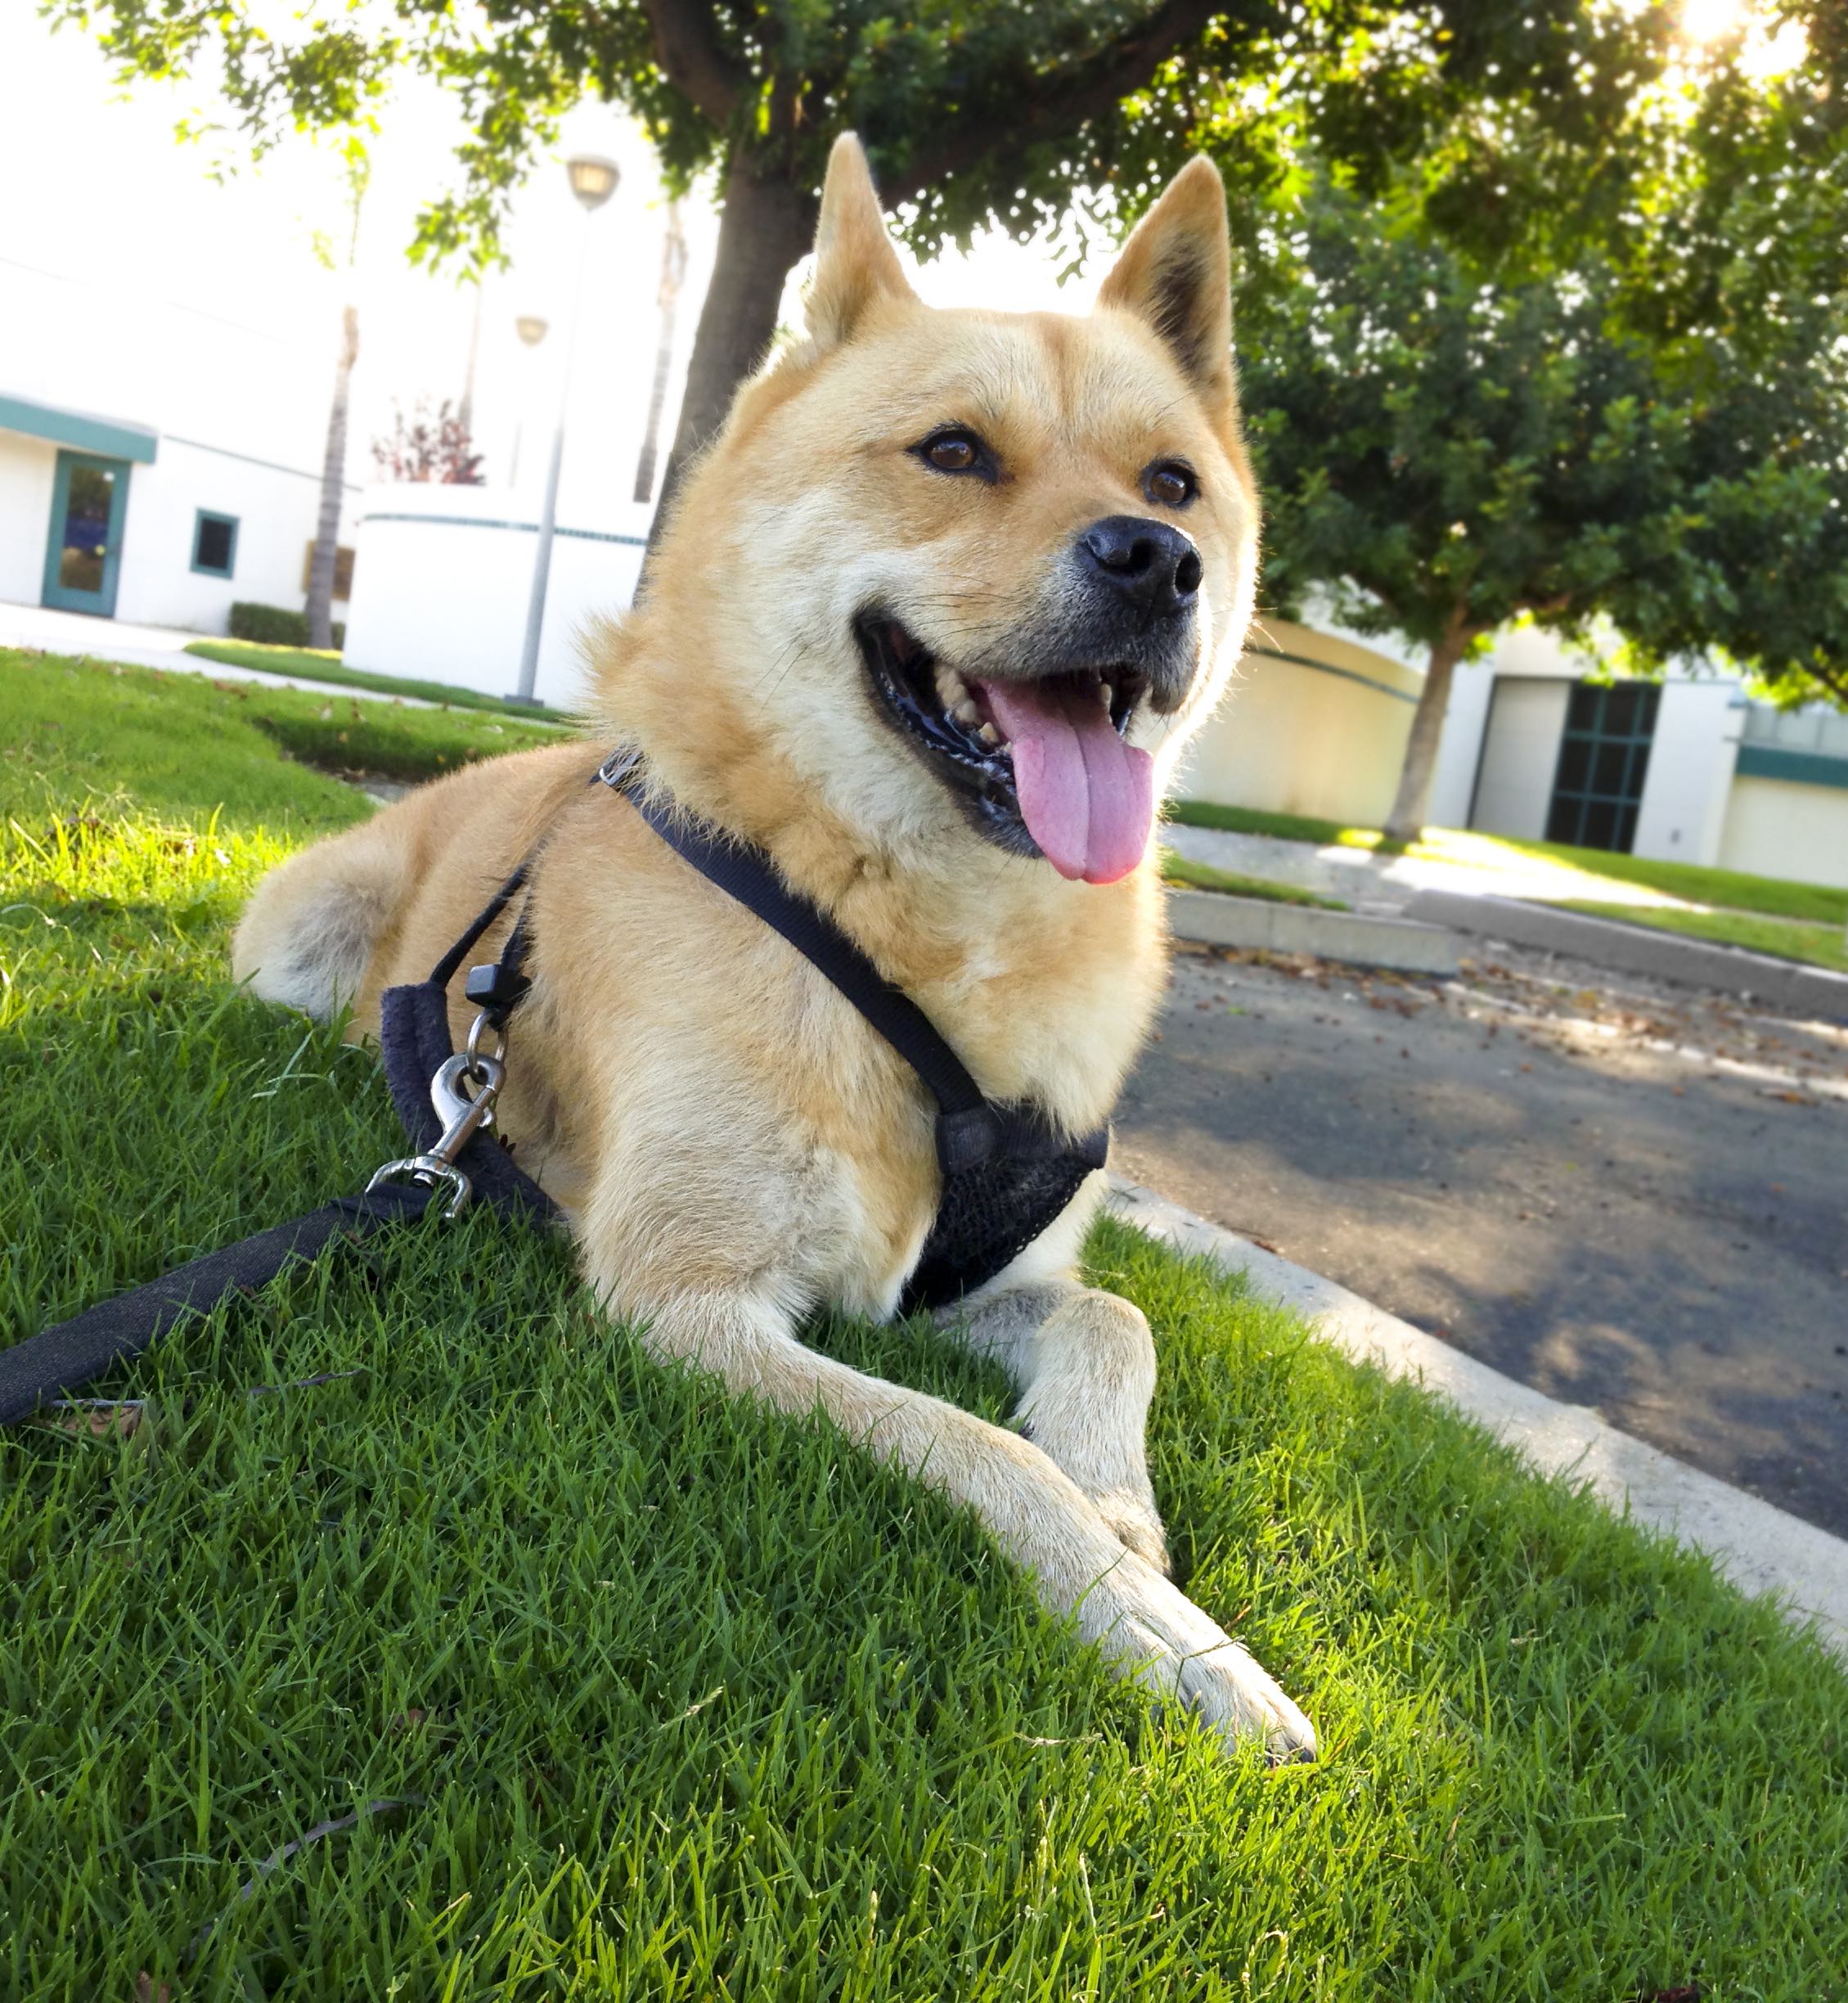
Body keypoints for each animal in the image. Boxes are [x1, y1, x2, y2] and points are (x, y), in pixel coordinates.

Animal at [238, 141, 1321, 1762]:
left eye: (1172, 482)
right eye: (952, 452)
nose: (1160, 561)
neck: (914, 935)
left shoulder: (990, 1277)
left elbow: (1116, 1318)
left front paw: (1120, 1509)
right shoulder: (683, 1299)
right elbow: (970, 1446)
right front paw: (1158, 1628)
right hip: (299, 943)